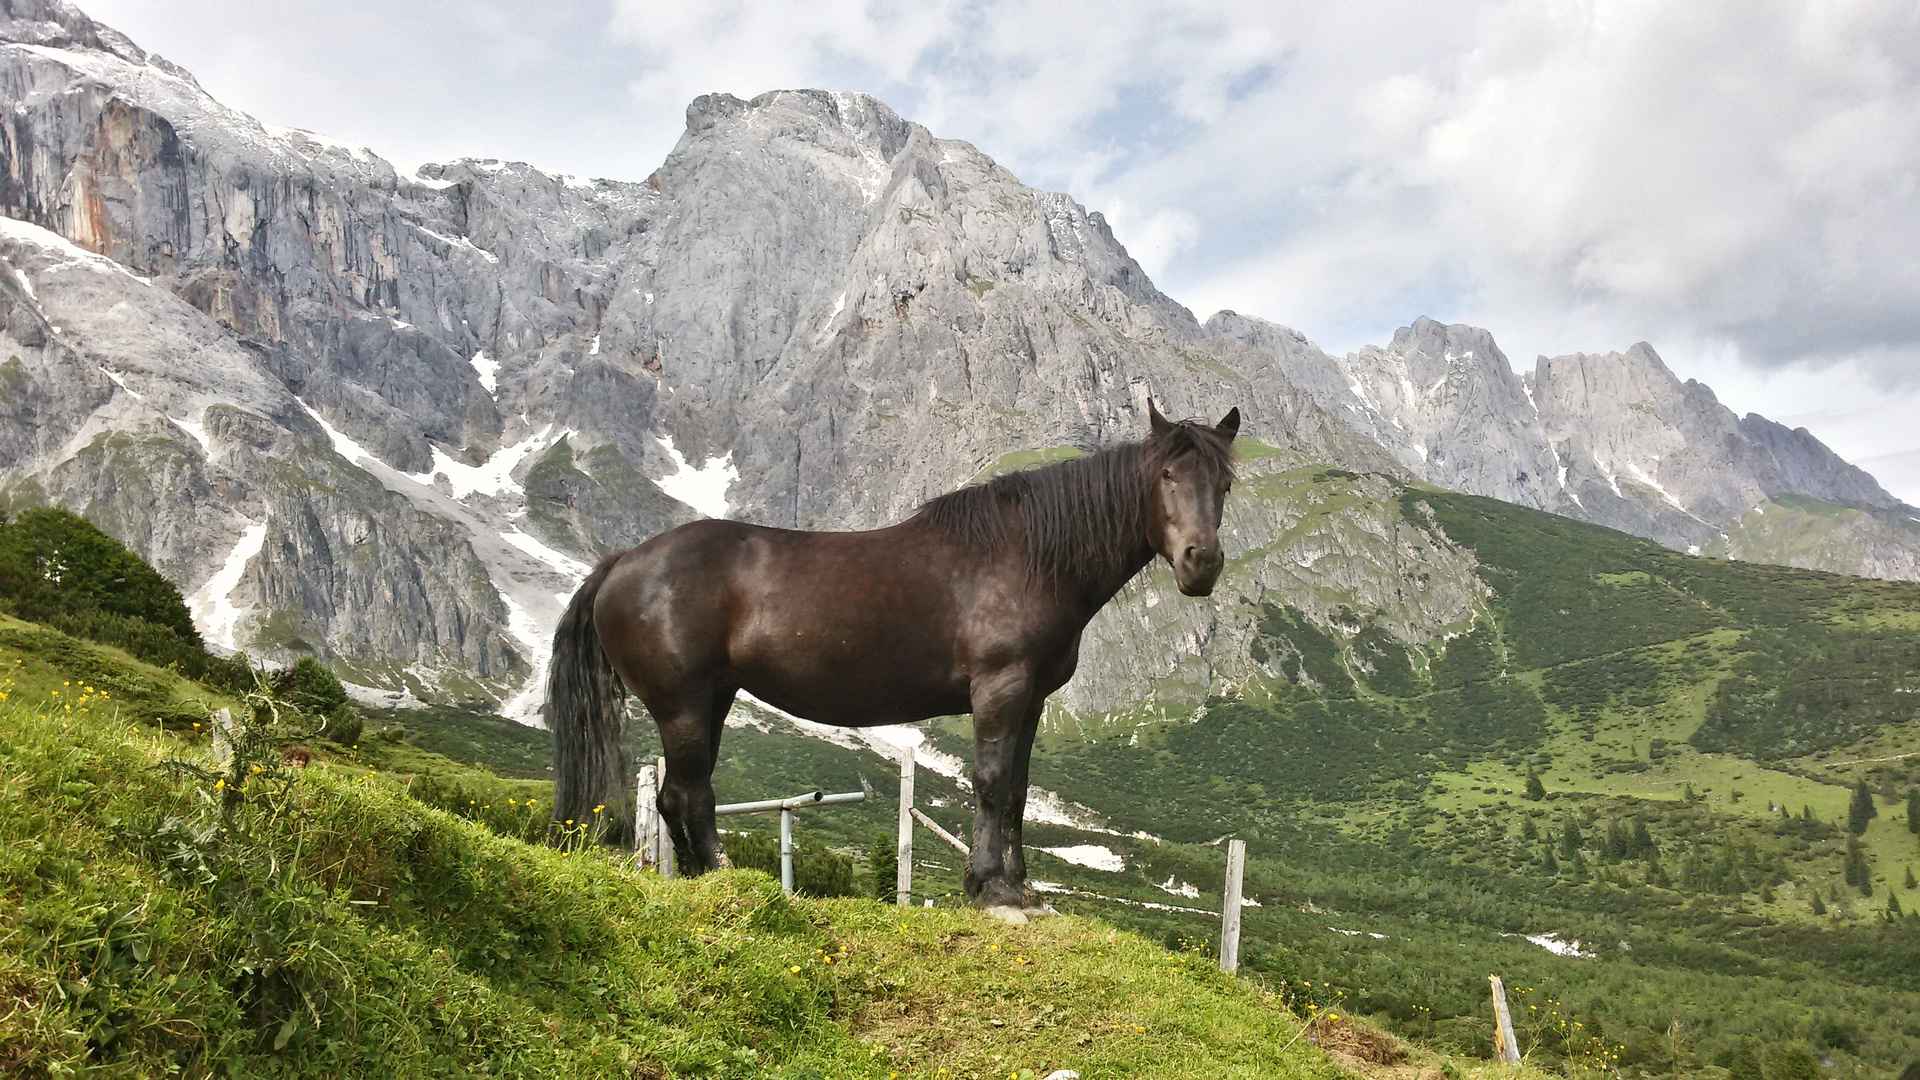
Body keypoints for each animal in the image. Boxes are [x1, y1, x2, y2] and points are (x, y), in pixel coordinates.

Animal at [549, 399, 1236, 903]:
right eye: (1167, 475)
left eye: (1225, 483)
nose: (1202, 563)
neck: (1027, 557)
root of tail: (621, 563)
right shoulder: (1000, 690)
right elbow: (991, 783)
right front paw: (990, 888)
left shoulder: (1032, 700)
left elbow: (1017, 788)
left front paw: (1019, 887)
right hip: (684, 707)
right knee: (686, 793)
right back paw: (721, 876)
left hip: (711, 702)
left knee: (683, 796)